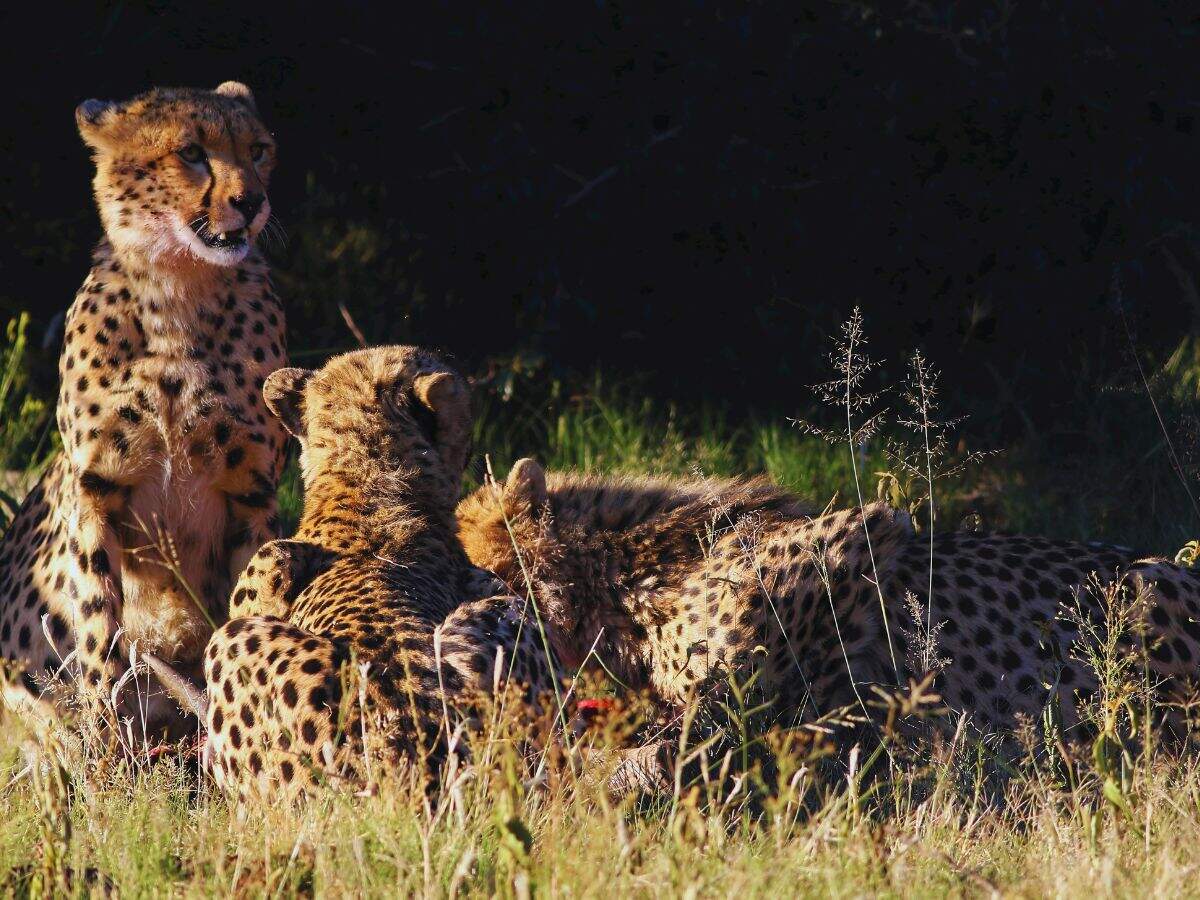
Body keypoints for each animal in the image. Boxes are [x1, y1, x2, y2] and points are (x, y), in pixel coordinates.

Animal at [0, 82, 288, 741]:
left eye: (258, 149)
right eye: (191, 153)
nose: (253, 201)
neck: (180, 288)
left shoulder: (253, 494)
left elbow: (251, 605)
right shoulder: (97, 491)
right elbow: (98, 631)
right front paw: (108, 744)